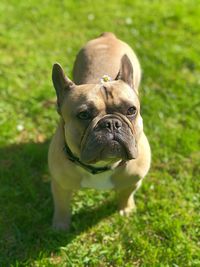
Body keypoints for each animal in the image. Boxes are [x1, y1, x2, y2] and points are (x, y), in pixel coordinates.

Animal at [48, 33, 151, 230]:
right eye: (84, 115)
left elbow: (126, 195)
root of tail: (108, 36)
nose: (111, 123)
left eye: (131, 110)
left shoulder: (133, 180)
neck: (102, 166)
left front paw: (126, 210)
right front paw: (61, 226)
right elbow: (62, 205)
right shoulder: (60, 185)